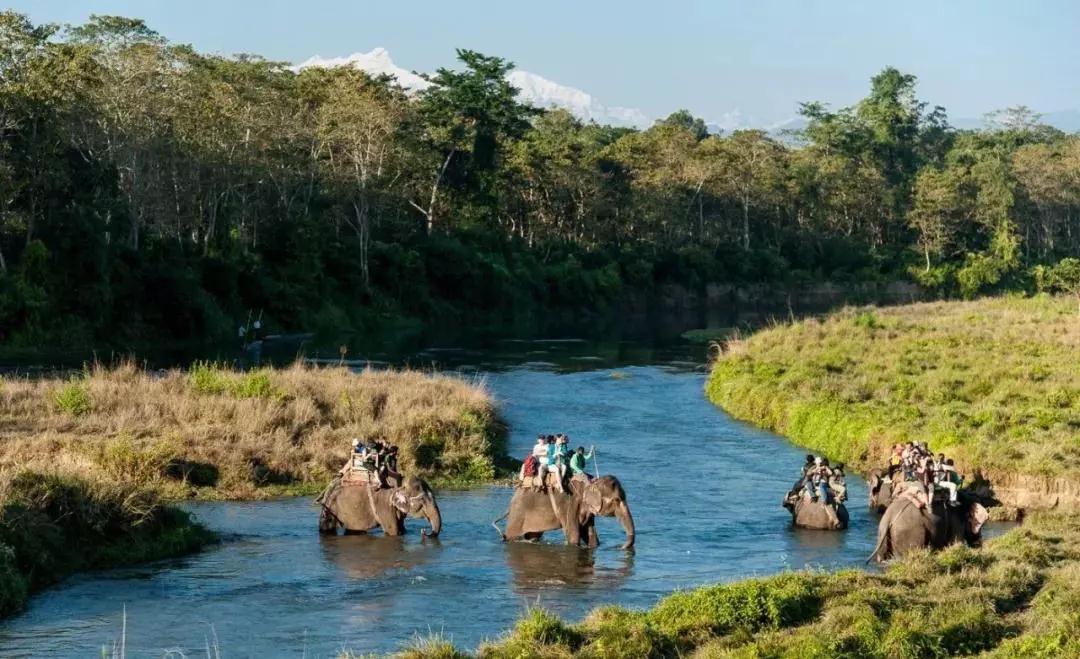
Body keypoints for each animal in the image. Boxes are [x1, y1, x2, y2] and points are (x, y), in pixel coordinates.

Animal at [494, 471, 635, 548]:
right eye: (617, 500)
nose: (620, 547)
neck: (592, 482)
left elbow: (589, 533)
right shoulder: (569, 504)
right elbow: (573, 533)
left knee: (533, 536)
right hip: (518, 516)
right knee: (513, 536)